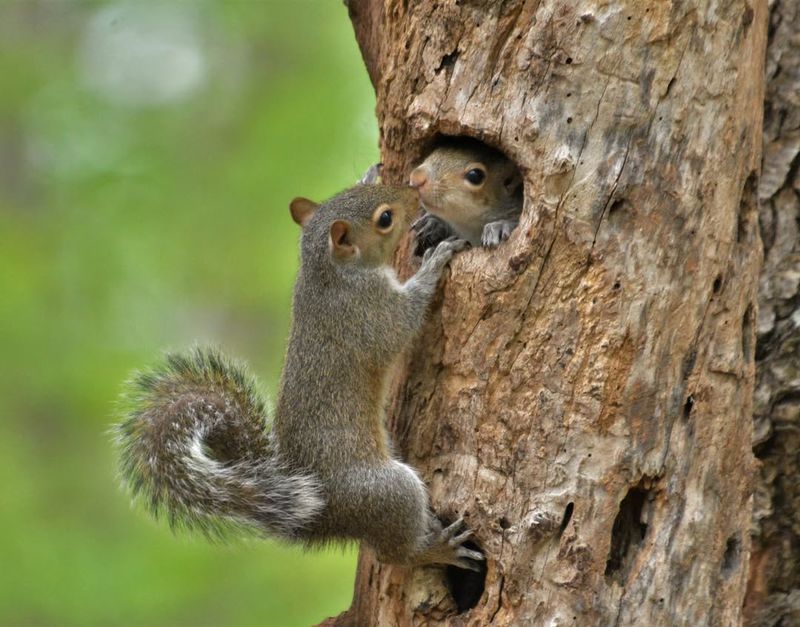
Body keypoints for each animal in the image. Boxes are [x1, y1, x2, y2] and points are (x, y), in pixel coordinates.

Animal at [113, 184, 484, 572]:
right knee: (396, 553)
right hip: (389, 492)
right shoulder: (369, 311)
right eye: (385, 218)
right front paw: (435, 262)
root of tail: (319, 519)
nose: (414, 191)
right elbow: (403, 320)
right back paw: (438, 549)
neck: (327, 273)